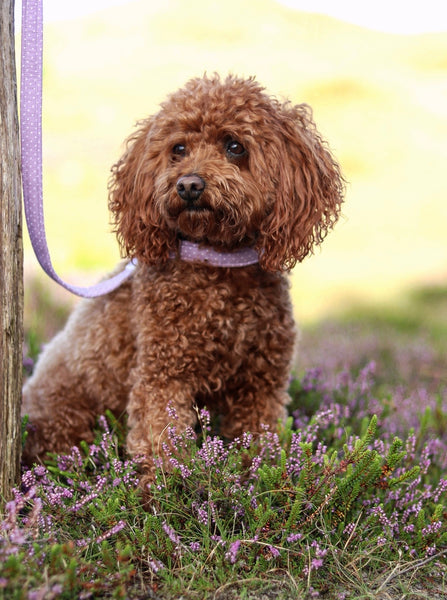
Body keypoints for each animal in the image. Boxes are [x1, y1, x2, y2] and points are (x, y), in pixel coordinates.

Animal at [22, 75, 344, 488]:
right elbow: (163, 440)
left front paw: (263, 479)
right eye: (178, 149)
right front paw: (167, 491)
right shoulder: (163, 376)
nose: (189, 185)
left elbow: (258, 441)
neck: (218, 261)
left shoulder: (259, 384)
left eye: (235, 146)